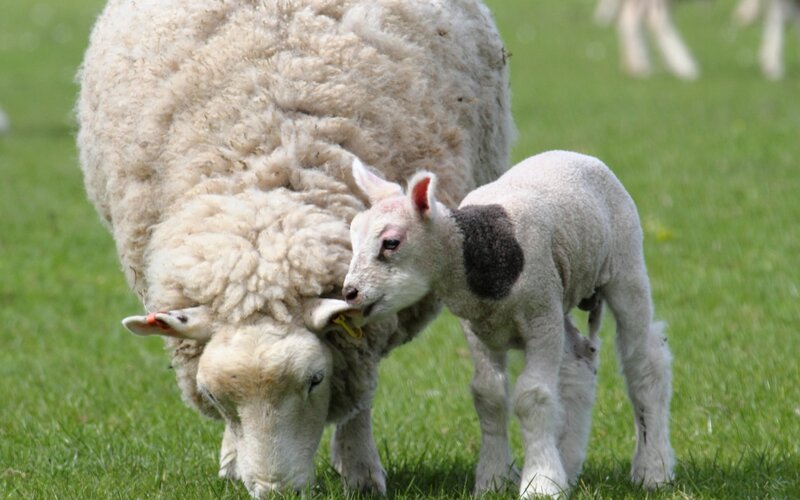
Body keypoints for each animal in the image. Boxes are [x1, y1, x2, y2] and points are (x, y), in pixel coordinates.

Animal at [75, 0, 513, 496]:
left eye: (315, 380)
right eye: (212, 396)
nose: (276, 492)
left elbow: (361, 394)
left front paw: (361, 471)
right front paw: (233, 460)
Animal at [344, 150, 674, 497]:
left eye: (391, 242)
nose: (349, 293)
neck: (478, 250)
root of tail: (577, 154)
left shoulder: (541, 318)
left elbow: (534, 395)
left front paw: (541, 483)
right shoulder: (477, 327)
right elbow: (488, 395)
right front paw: (493, 480)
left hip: (625, 266)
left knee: (645, 362)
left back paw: (653, 470)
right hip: (560, 296)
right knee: (579, 363)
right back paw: (568, 463)